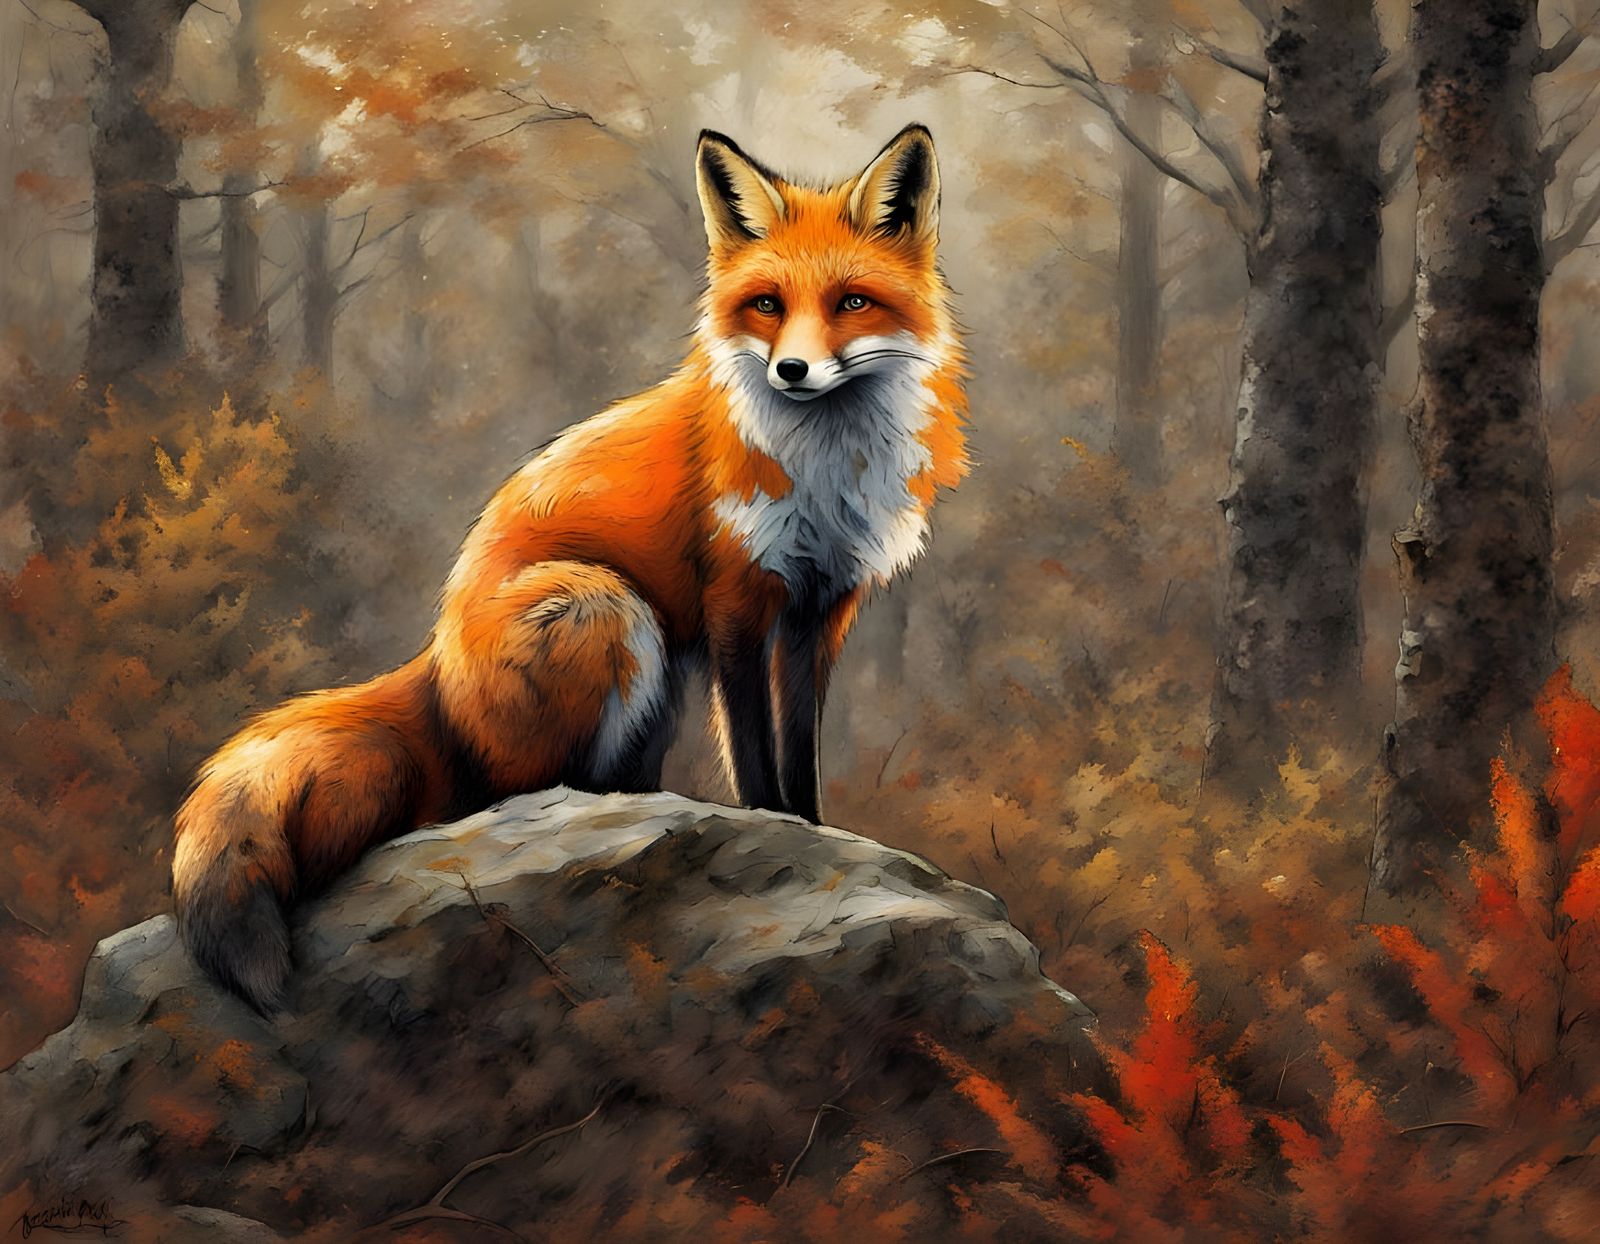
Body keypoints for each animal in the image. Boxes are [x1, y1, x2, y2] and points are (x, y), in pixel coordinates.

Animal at [172, 123, 968, 1012]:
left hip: (656, 679)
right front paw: (779, 831)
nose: (790, 371)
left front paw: (816, 829)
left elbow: (799, 747)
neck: (824, 468)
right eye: (768, 305)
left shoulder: (819, 609)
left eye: (851, 303)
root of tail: (437, 660)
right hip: (609, 609)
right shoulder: (734, 598)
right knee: (509, 794)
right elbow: (755, 751)